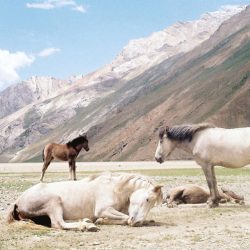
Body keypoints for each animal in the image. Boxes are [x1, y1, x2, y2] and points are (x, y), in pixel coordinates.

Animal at [6, 172, 163, 230]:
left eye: (151, 203)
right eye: (147, 199)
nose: (137, 221)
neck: (116, 189)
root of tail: (18, 200)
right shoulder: (103, 209)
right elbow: (124, 218)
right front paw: (101, 221)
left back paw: (86, 221)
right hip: (54, 202)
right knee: (58, 223)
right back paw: (87, 226)